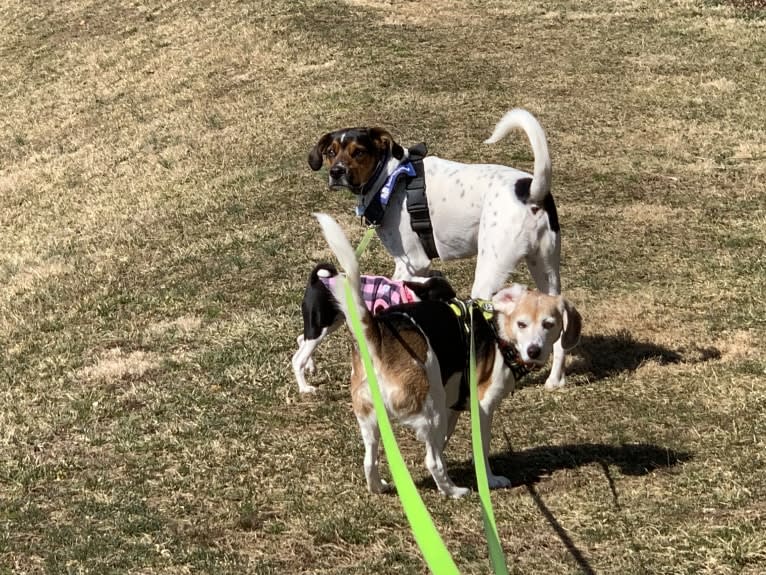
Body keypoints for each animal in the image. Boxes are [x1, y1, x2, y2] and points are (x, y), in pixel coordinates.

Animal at [316, 214, 580, 498]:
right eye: (522, 324)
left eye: (549, 324)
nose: (534, 350)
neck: (498, 331)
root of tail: (378, 335)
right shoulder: (482, 406)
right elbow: (480, 450)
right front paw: (490, 479)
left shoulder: (453, 406)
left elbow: (443, 442)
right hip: (431, 410)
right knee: (431, 461)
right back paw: (453, 491)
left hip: (373, 418)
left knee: (370, 460)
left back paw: (380, 486)